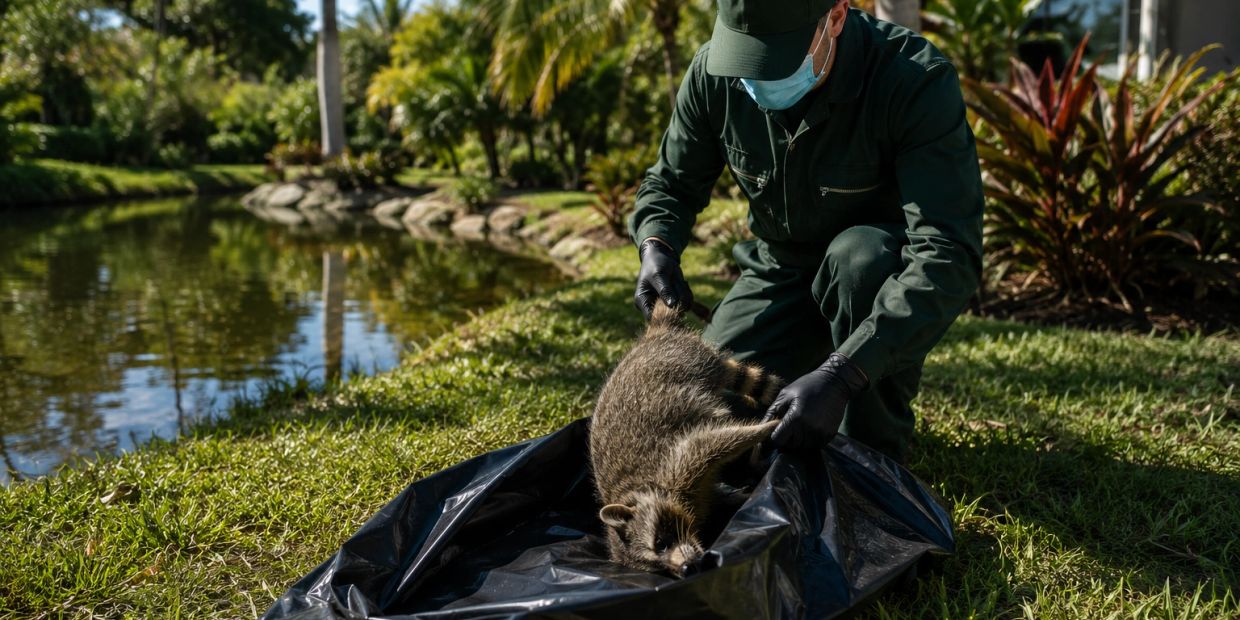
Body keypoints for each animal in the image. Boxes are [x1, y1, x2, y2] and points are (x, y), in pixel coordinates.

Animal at [589, 302, 782, 577]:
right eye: (658, 568)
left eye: (660, 543)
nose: (687, 569)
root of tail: (654, 335)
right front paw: (737, 497)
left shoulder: (676, 466)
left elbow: (711, 442)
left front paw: (764, 428)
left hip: (690, 362)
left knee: (730, 375)